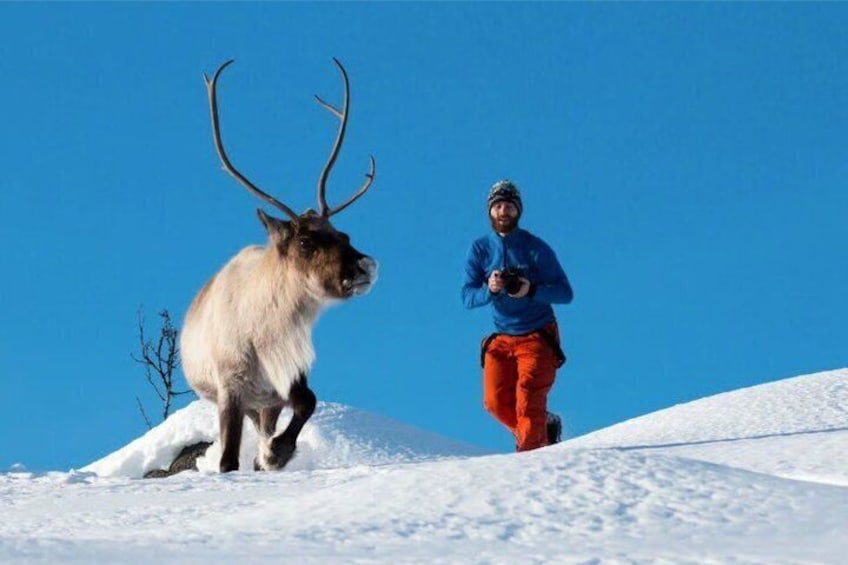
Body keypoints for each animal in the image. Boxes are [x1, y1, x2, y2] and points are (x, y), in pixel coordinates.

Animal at [180, 59, 378, 473]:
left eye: (344, 234)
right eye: (305, 242)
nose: (365, 266)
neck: (267, 327)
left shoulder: (286, 379)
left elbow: (309, 401)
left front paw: (276, 452)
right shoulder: (232, 388)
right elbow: (227, 459)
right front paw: (273, 451)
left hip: (266, 404)